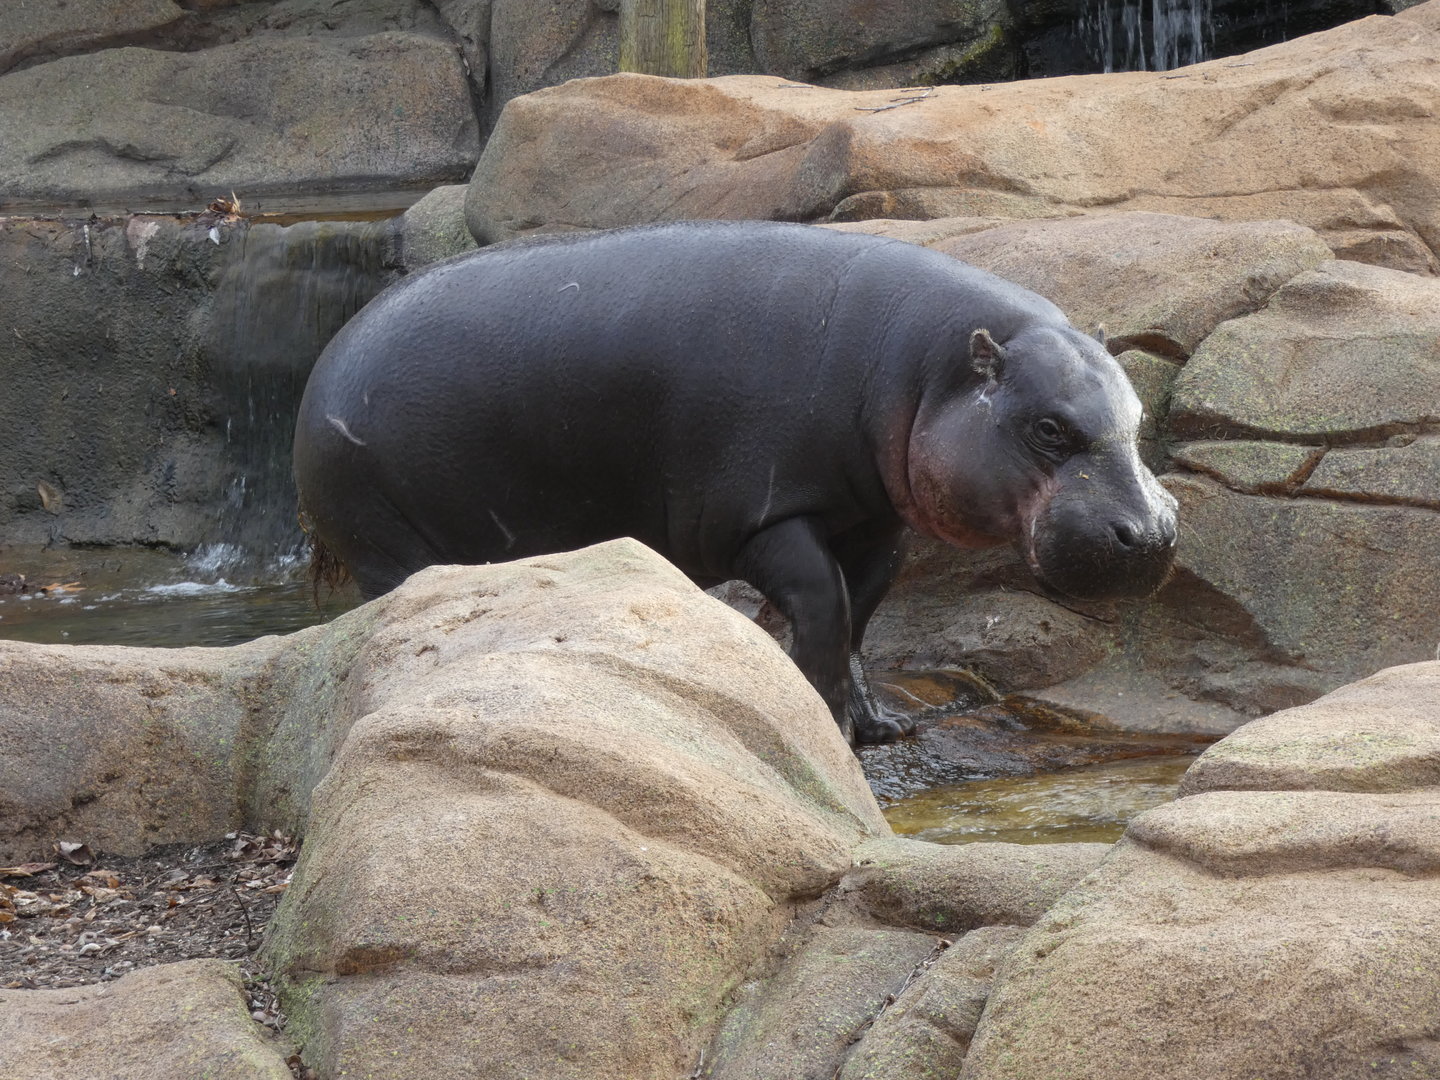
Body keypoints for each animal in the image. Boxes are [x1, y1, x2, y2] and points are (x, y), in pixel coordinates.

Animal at [293, 220, 1177, 744]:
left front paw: (878, 725)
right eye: (1048, 428)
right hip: (387, 545)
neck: (923, 370)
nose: (1149, 534)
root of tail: (322, 365)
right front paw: (830, 728)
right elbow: (825, 610)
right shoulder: (762, 514)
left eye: (1137, 412)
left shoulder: (873, 521)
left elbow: (862, 616)